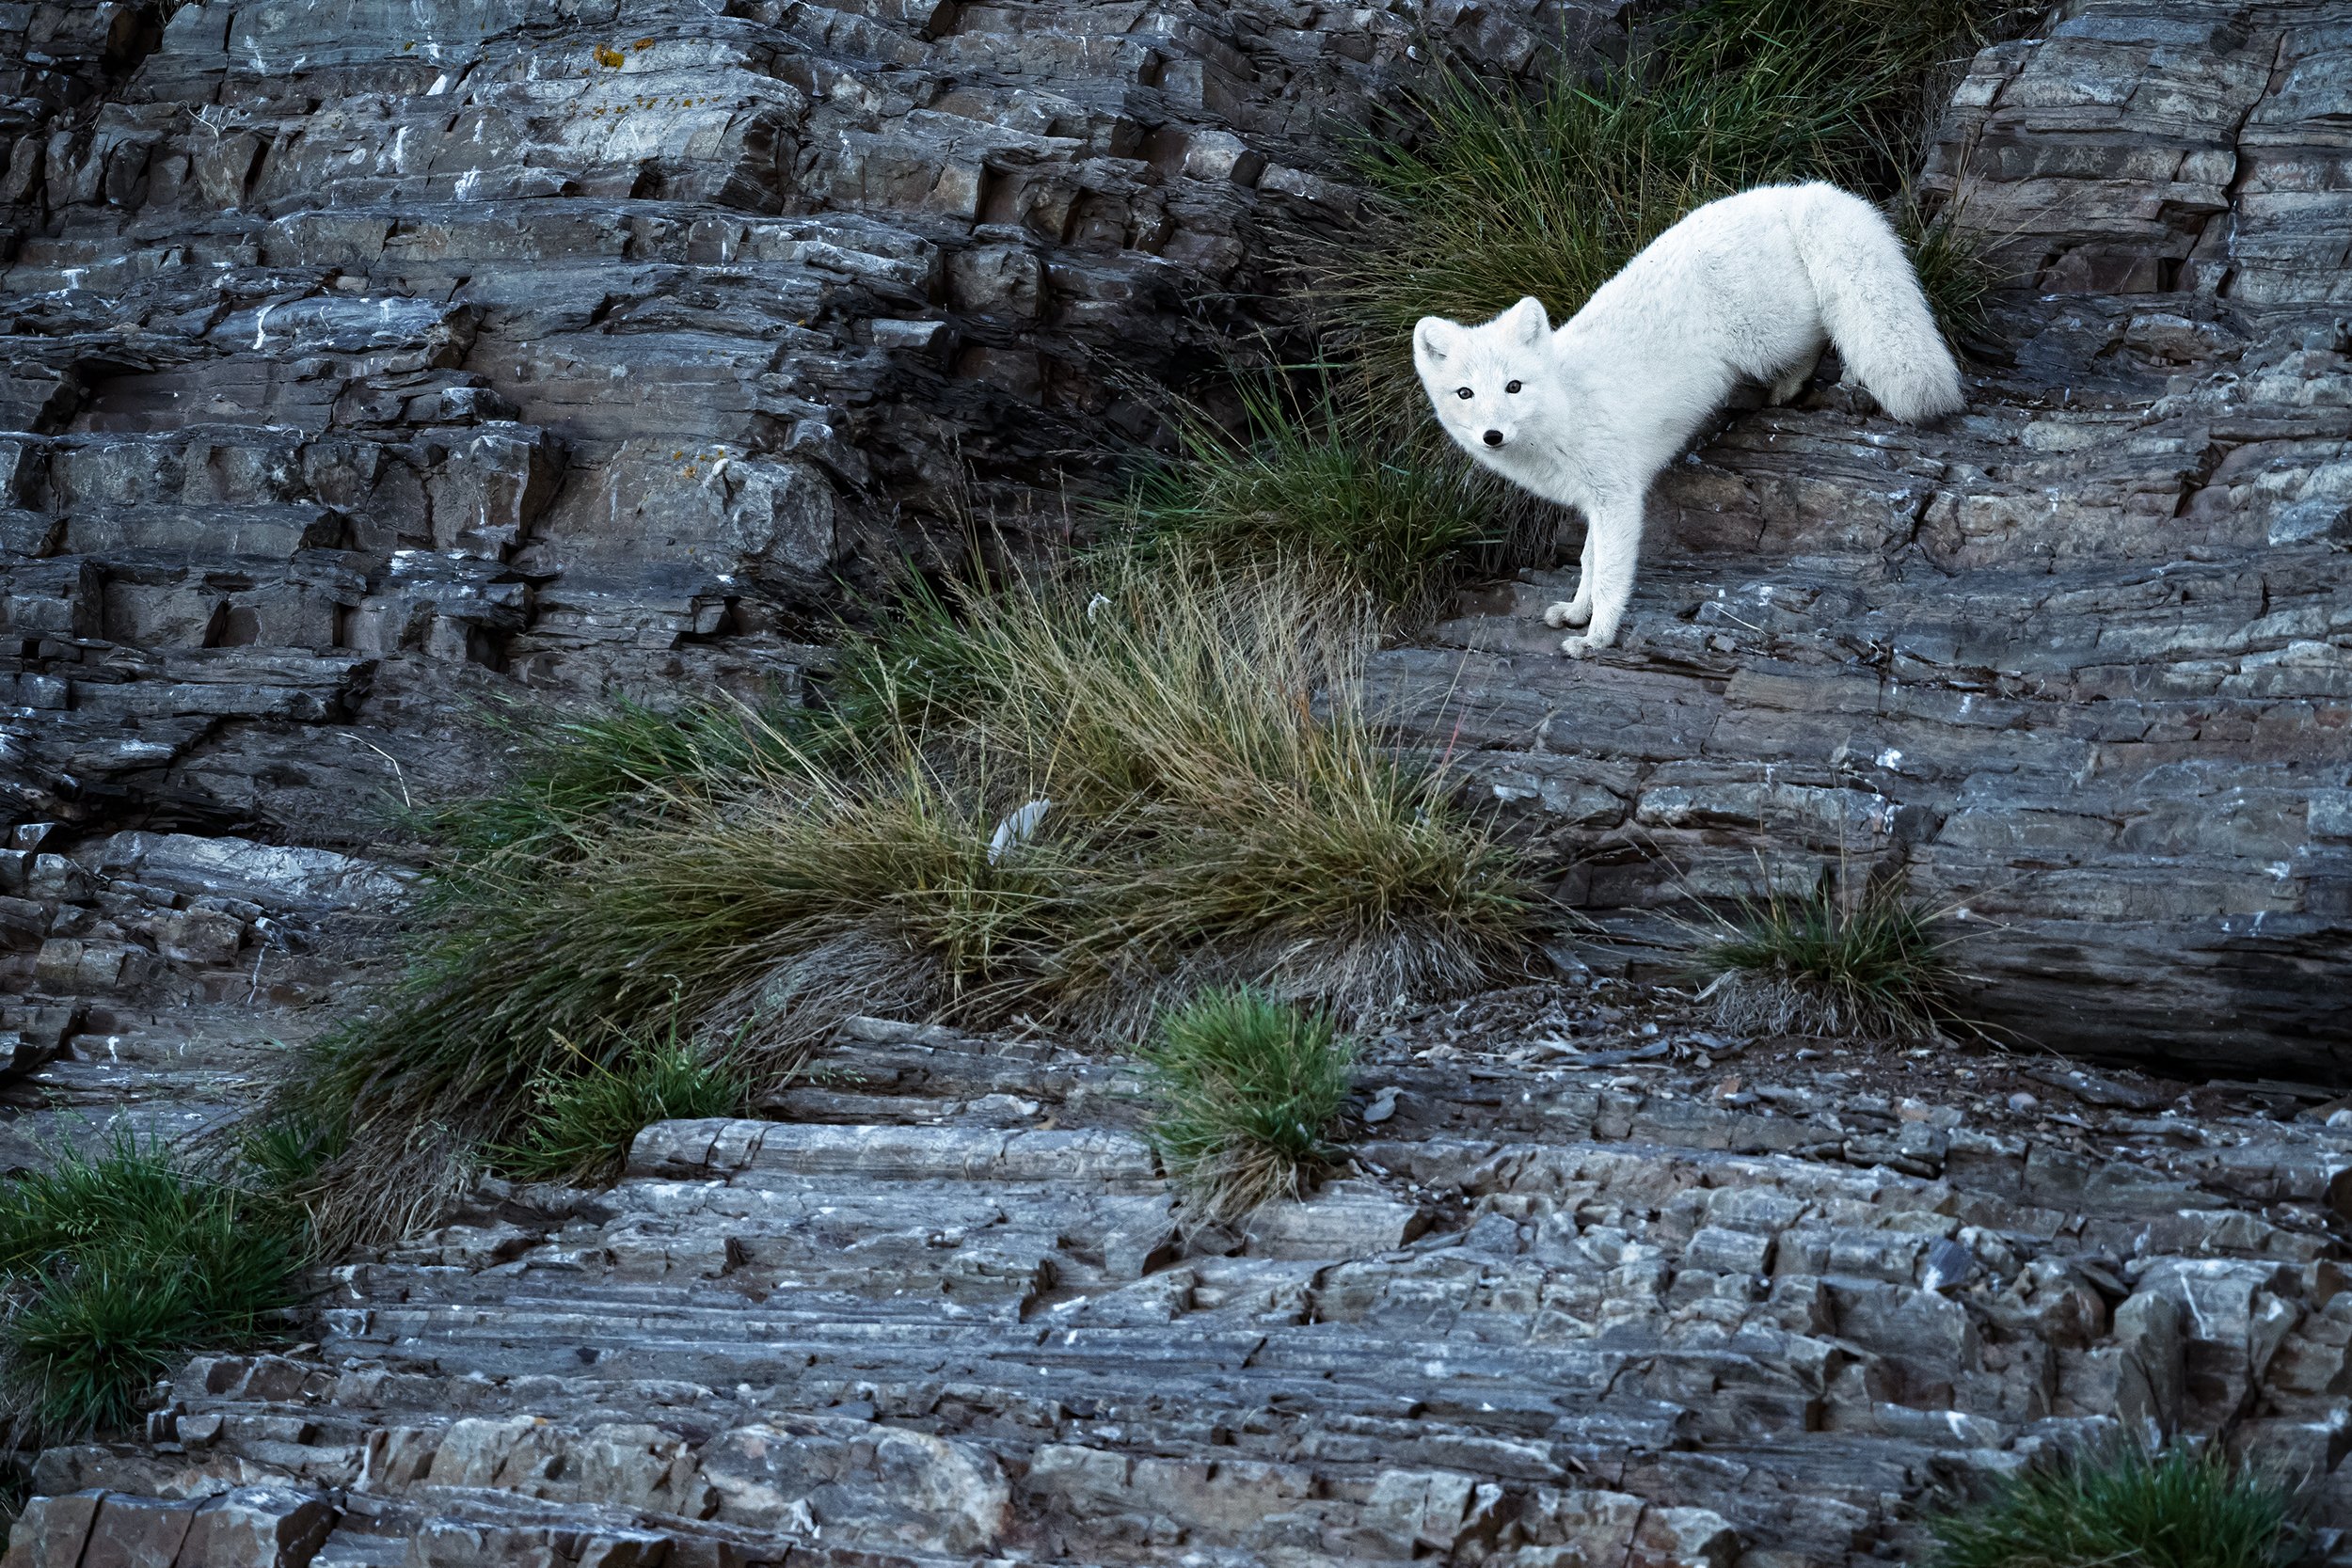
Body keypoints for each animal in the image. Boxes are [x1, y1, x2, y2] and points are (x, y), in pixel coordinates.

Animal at [1414, 181, 1963, 655]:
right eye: (1465, 393)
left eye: (1514, 387)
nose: (1492, 435)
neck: (1563, 407)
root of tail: (1794, 192)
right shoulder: (1594, 503)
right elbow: (1589, 562)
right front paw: (1576, 612)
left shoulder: (1618, 497)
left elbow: (1610, 574)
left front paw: (1596, 638)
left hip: (1771, 335)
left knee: (1817, 336)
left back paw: (1796, 385)